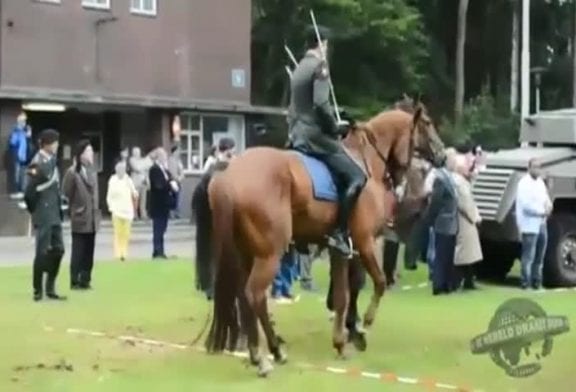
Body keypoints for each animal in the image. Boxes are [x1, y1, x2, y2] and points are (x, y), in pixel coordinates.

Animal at [205, 101, 444, 376]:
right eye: (427, 123)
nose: (442, 155)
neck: (366, 161)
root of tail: (229, 176)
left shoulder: (339, 249)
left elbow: (342, 295)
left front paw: (341, 340)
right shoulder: (365, 242)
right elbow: (377, 282)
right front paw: (363, 327)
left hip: (245, 254)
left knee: (245, 299)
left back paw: (260, 353)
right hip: (269, 254)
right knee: (255, 295)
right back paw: (269, 355)